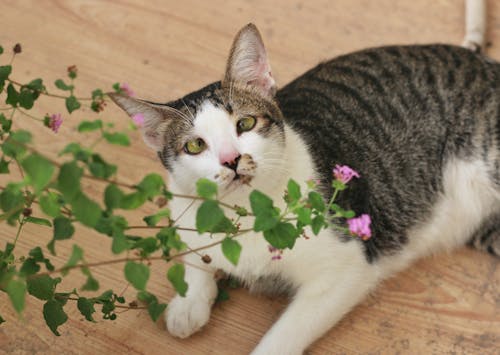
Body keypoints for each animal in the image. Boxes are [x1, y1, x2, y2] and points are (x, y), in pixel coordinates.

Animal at [111, 2, 498, 354]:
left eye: (245, 123)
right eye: (194, 145)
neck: (245, 213)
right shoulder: (186, 212)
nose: (231, 160)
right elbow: (196, 256)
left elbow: (282, 337)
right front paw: (189, 303)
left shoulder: (346, 268)